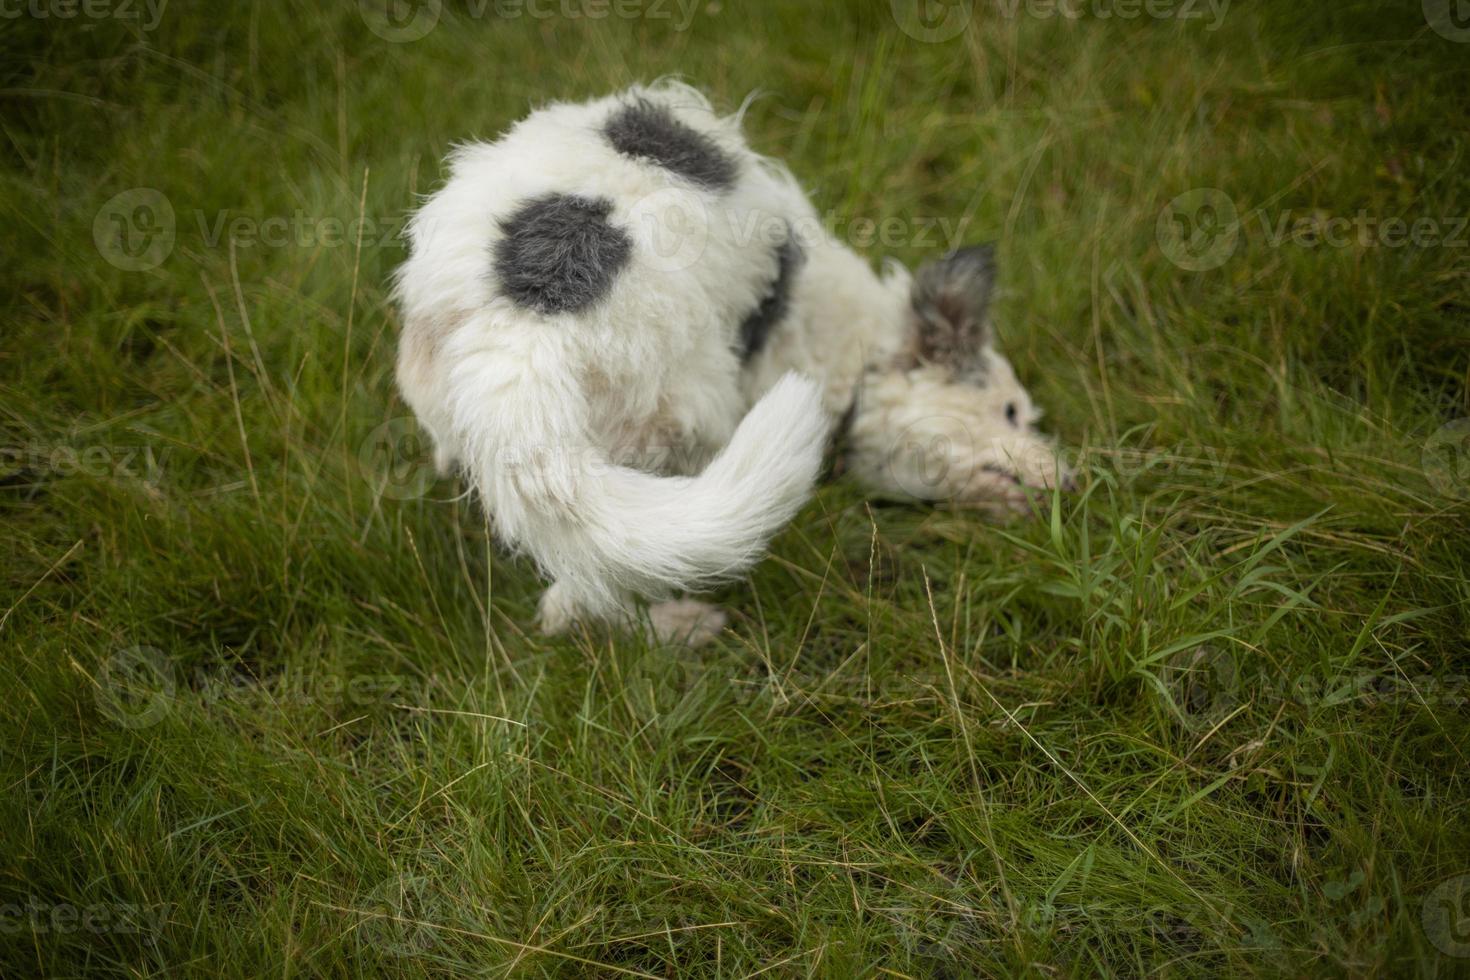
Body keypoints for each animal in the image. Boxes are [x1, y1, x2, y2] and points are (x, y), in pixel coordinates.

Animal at [396, 82, 1076, 643]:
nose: (1073, 484)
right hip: (682, 418)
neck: (857, 348)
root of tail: (522, 333)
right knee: (585, 596)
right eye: (1010, 412)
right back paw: (682, 629)